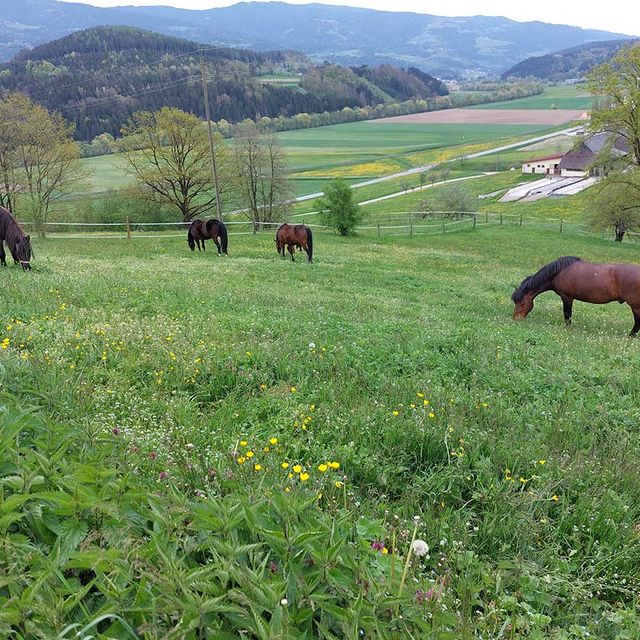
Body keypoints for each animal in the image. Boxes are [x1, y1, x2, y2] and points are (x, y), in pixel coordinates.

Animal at [512, 254, 640, 336]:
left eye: (522, 303)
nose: (516, 319)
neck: (559, 272)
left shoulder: (567, 297)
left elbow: (567, 314)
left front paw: (568, 328)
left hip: (635, 306)